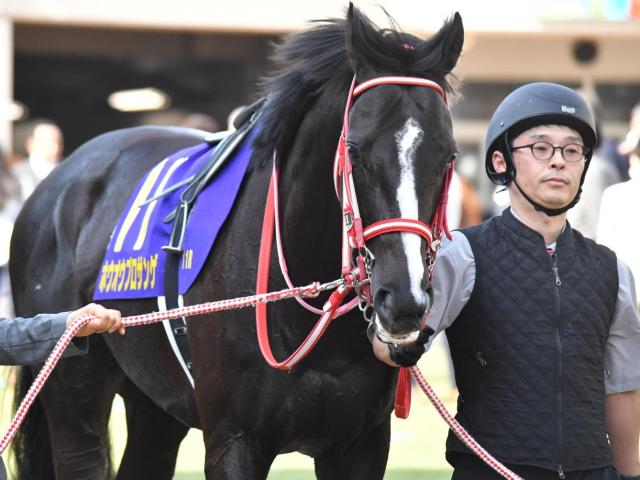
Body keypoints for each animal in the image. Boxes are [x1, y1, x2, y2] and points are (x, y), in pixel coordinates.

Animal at [10, 6, 463, 479]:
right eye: (354, 150)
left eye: (448, 154)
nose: (404, 299)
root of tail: (55, 182)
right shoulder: (234, 440)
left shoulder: (361, 446)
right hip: (72, 386)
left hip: (155, 405)